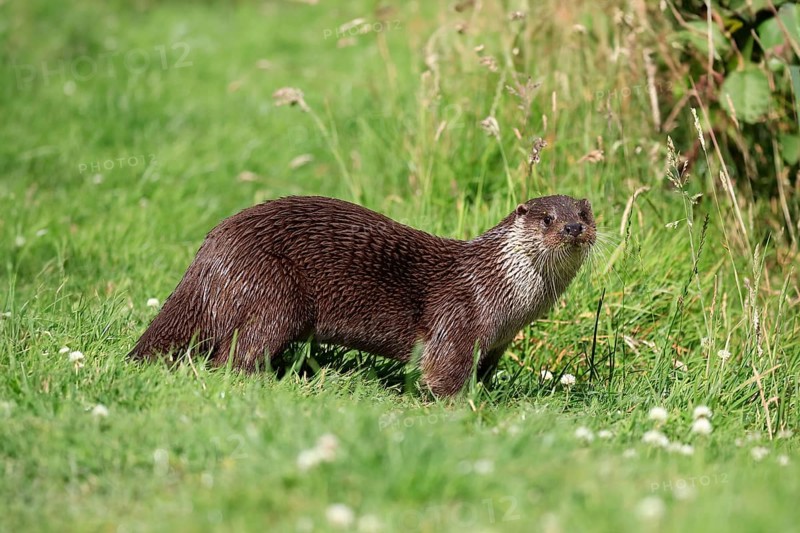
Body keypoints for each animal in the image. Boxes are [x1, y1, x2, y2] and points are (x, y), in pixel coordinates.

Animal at [129, 195, 595, 396]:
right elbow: (443, 374)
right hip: (274, 293)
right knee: (234, 355)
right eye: (548, 218)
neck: (501, 293)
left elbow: (482, 373)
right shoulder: (458, 318)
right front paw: (459, 407)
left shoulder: (497, 344)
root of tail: (208, 256)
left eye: (585, 213)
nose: (574, 228)